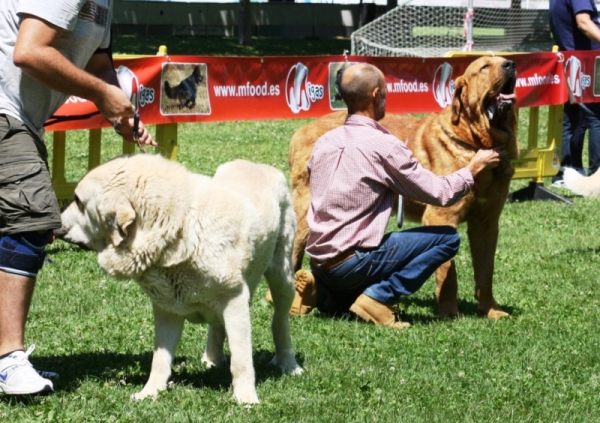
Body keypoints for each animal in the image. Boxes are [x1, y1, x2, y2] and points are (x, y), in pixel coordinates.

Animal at [58, 155, 302, 404]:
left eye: (78, 201)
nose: (56, 223)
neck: (179, 228)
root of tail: (260, 166)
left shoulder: (234, 301)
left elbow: (241, 360)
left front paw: (247, 399)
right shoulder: (167, 309)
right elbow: (159, 360)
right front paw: (150, 392)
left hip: (282, 277)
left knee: (280, 321)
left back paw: (288, 364)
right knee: (218, 327)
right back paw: (212, 358)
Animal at [288, 57, 516, 322]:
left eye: (503, 61)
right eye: (484, 67)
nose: (510, 64)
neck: (477, 140)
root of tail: (300, 130)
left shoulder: (486, 223)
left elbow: (485, 272)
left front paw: (491, 310)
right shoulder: (441, 217)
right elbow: (448, 274)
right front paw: (449, 314)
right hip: (305, 215)